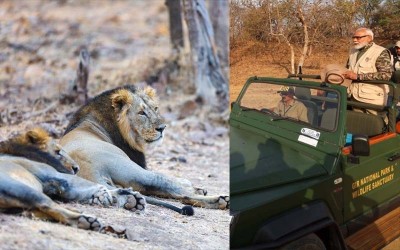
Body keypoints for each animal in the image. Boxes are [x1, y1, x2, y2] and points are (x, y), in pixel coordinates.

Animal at [0, 128, 147, 231]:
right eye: (57, 152)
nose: (77, 168)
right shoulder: (54, 175)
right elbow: (88, 184)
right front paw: (112, 195)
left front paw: (128, 198)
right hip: (24, 189)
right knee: (49, 206)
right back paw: (85, 220)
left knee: (37, 211)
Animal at [59, 85, 228, 210]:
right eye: (141, 113)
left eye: (156, 108)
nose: (162, 128)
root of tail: (90, 172)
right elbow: (171, 179)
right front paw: (193, 185)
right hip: (131, 169)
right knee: (173, 187)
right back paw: (220, 199)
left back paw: (131, 199)